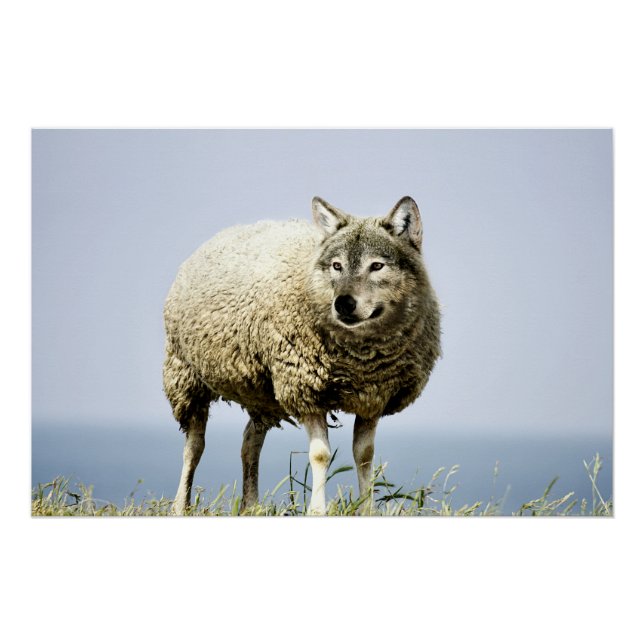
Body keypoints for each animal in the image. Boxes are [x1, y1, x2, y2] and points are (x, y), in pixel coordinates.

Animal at [163, 196, 441, 515]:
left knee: (250, 442)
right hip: (186, 376)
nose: (343, 304)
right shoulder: (305, 390)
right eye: (336, 265)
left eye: (377, 266)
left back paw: (251, 506)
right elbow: (320, 455)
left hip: (262, 394)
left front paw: (367, 509)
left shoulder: (372, 398)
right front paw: (317, 511)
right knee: (194, 446)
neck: (360, 360)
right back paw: (180, 505)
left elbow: (365, 455)